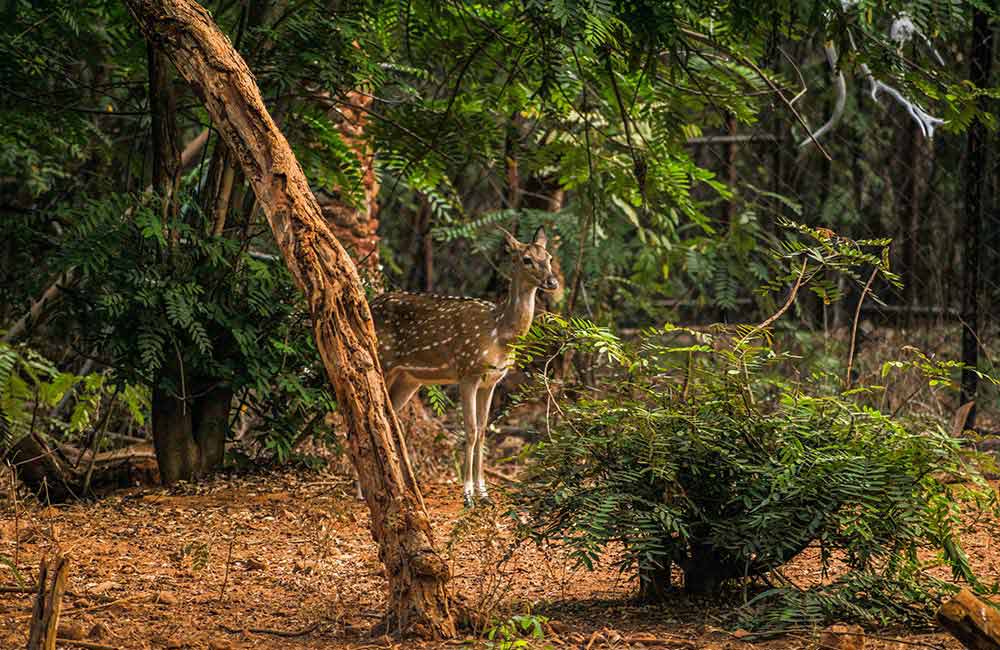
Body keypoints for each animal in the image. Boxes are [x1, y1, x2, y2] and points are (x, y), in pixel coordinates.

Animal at [372, 225, 560, 504]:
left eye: (548, 257)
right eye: (526, 259)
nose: (552, 282)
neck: (499, 333)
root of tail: (369, 303)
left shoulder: (492, 380)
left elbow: (483, 431)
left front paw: (484, 493)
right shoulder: (467, 372)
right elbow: (469, 431)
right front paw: (468, 494)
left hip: (408, 378)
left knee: (389, 416)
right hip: (382, 361)